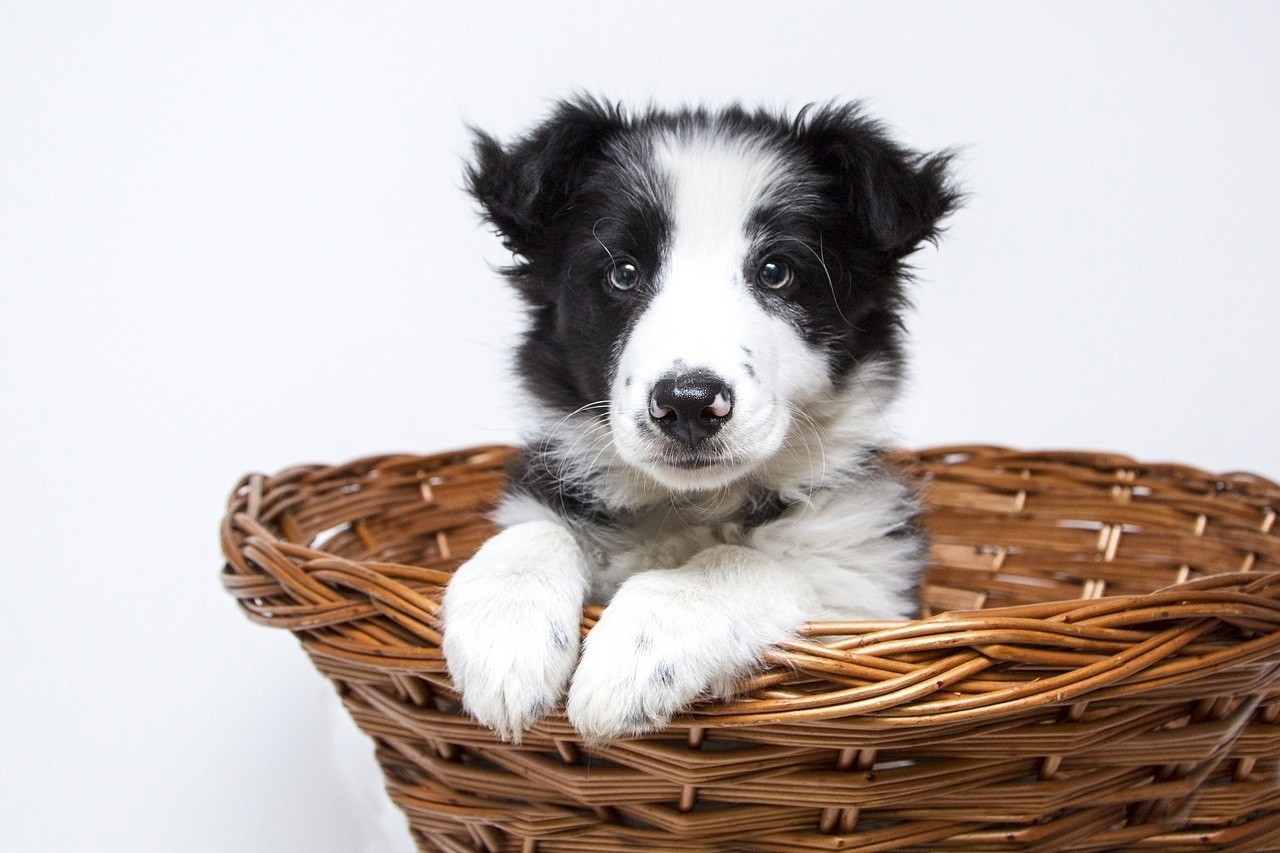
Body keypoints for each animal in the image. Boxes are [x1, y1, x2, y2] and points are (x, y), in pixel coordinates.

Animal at [445, 96, 957, 742]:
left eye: (776, 271)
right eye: (623, 273)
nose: (688, 402)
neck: (691, 506)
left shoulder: (867, 583)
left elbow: (744, 560)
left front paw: (637, 652)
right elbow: (535, 530)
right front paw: (503, 641)